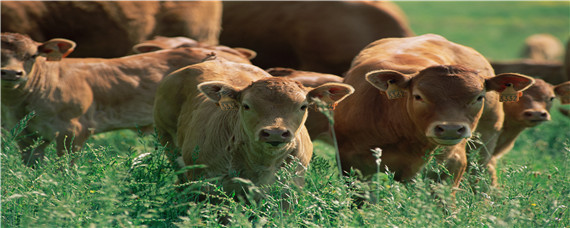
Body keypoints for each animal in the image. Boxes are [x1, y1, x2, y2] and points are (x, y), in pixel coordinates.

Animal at [332, 34, 532, 187]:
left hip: (484, 142)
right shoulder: (353, 164)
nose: (451, 129)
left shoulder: (452, 163)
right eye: (418, 96)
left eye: (479, 97)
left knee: (482, 174)